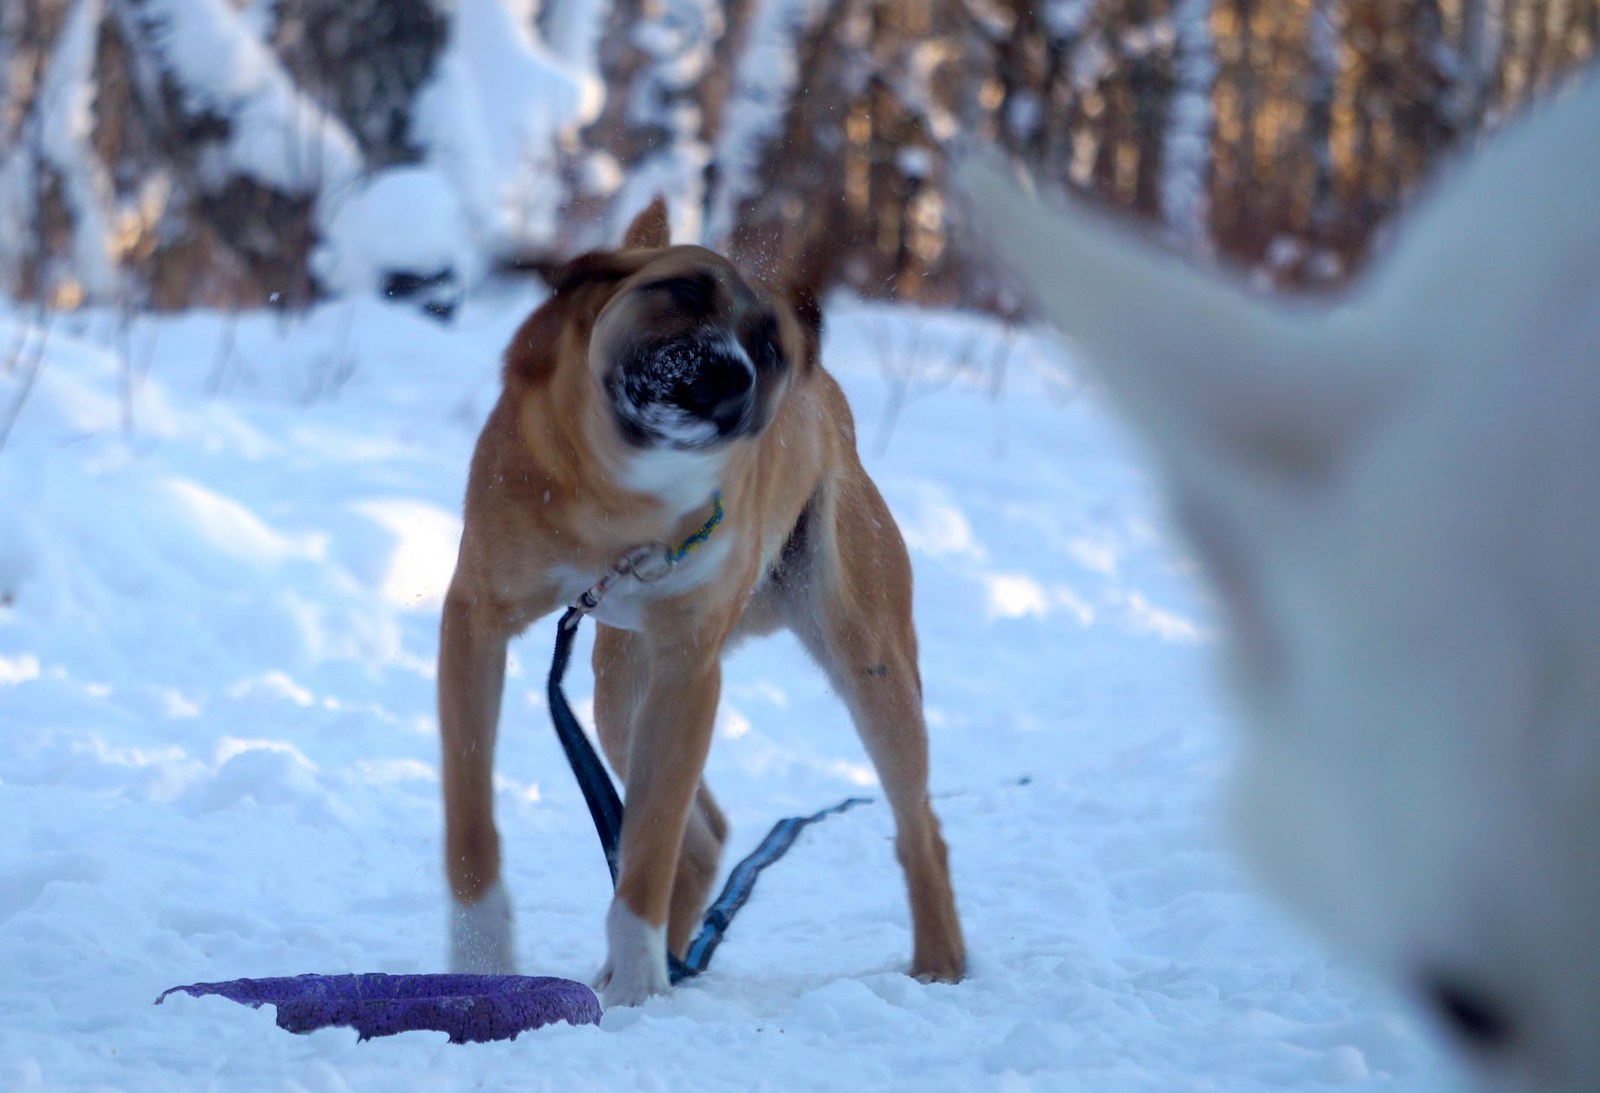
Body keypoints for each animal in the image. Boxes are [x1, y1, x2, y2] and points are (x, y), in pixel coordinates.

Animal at [435, 198, 960, 1011]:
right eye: (681, 290)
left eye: (771, 347)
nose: (729, 375)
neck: (617, 502)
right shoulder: (472, 622)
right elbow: (470, 818)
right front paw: (482, 962)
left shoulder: (689, 671)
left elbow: (650, 843)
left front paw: (637, 989)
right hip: (619, 695)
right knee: (707, 829)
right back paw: (667, 960)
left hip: (869, 664)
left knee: (918, 822)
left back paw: (938, 963)